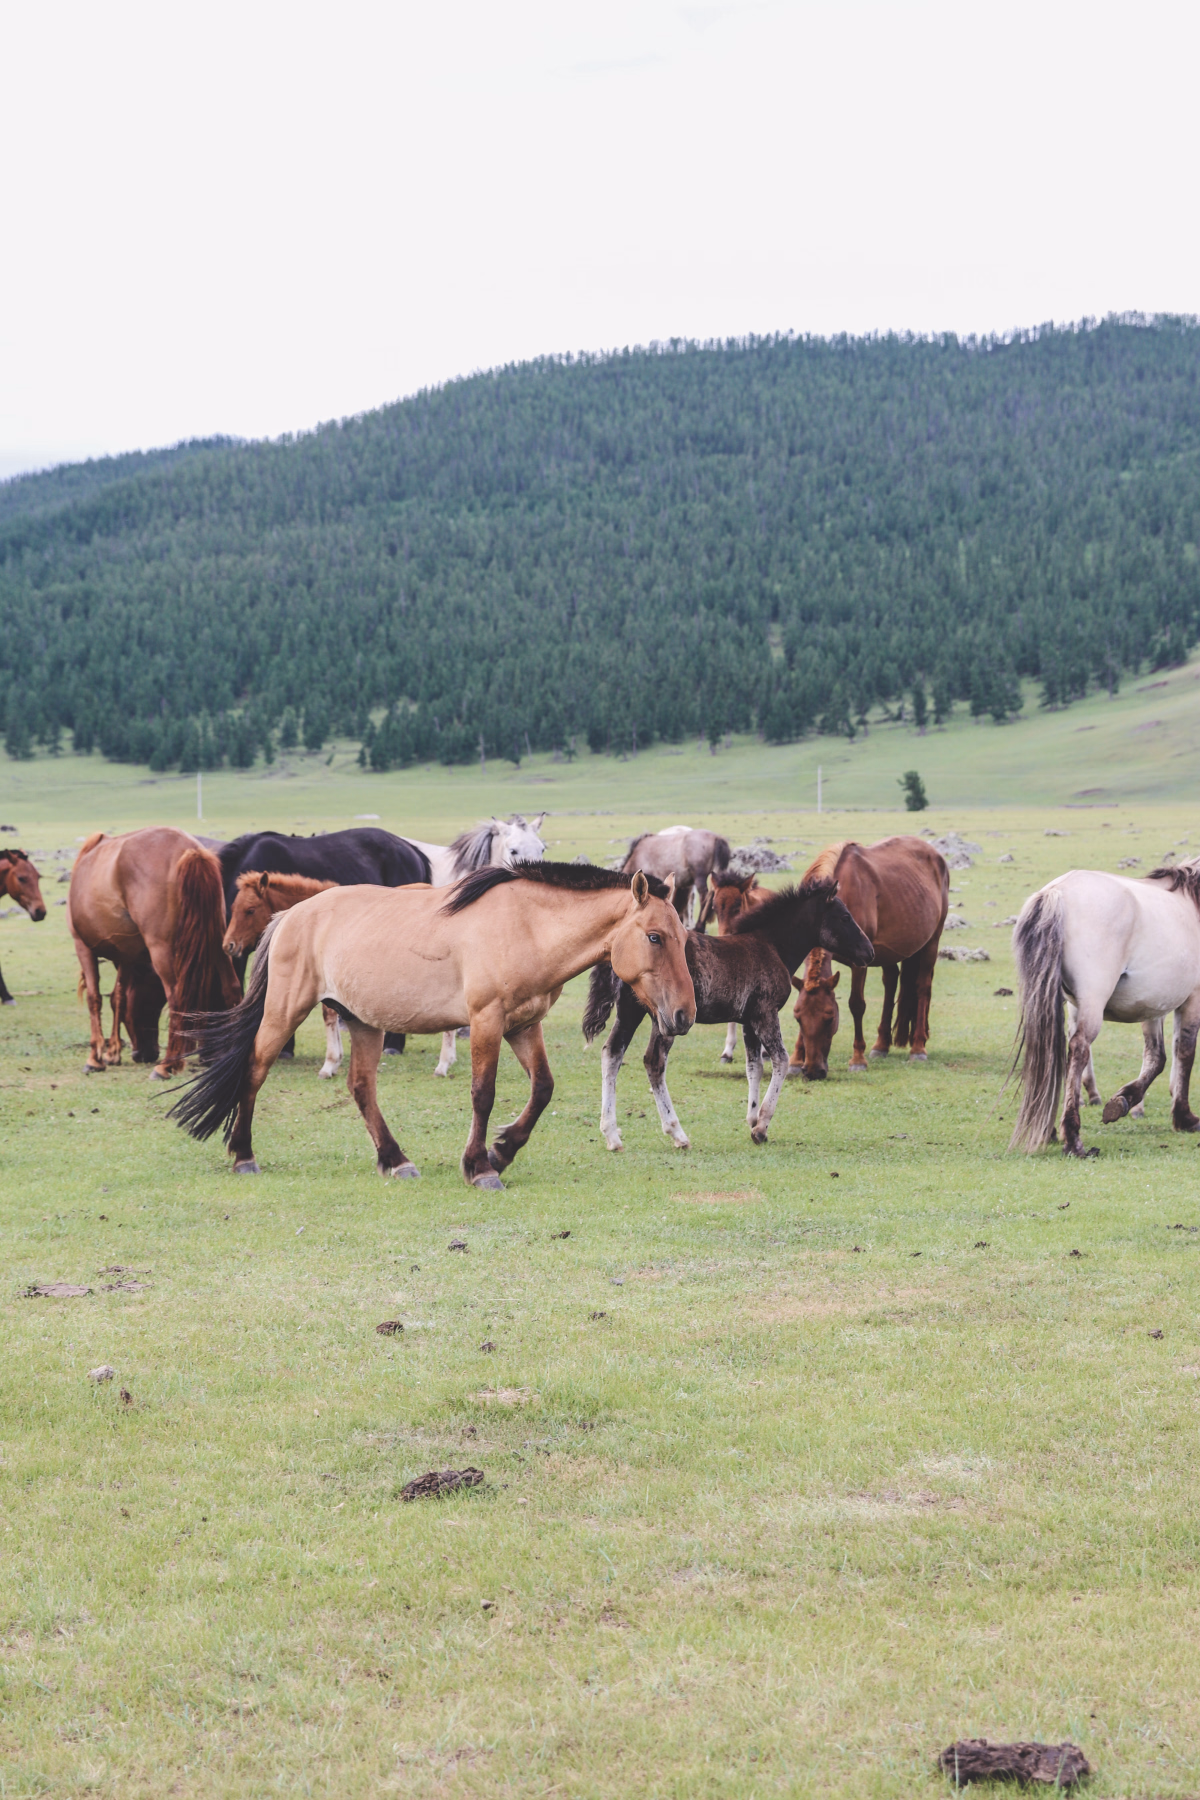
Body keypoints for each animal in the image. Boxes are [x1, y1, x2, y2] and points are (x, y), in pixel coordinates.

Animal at [68, 828, 241, 1077]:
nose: (144, 1054)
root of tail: (191, 851)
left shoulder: (82, 946)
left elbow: (95, 998)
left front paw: (95, 1058)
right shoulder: (126, 956)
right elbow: (118, 998)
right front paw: (113, 1053)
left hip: (162, 950)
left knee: (177, 997)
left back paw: (166, 1066)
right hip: (217, 939)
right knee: (232, 988)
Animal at [582, 879, 874, 1150]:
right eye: (845, 917)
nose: (869, 951)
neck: (771, 945)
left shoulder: (749, 1020)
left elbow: (754, 1066)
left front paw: (752, 1118)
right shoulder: (766, 1013)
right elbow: (781, 1060)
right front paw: (761, 1127)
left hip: (631, 1012)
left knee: (612, 1052)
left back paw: (612, 1135)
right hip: (667, 1017)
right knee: (654, 1061)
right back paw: (677, 1134)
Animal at [797, 838, 948, 1069]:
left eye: (829, 1018)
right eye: (798, 1018)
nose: (813, 1069)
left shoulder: (860, 962)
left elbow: (857, 1005)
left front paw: (858, 1059)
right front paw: (795, 1060)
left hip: (931, 943)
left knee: (923, 987)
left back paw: (918, 1047)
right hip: (888, 952)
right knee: (891, 982)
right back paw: (881, 1045)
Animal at [1009, 861, 1200, 1158]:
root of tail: (1057, 892)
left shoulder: (1153, 1004)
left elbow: (1156, 1057)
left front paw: (1125, 1101)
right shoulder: (1192, 999)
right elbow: (1185, 1053)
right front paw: (1184, 1117)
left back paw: (1049, 1129)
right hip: (1091, 1002)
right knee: (1078, 1048)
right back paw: (1073, 1139)